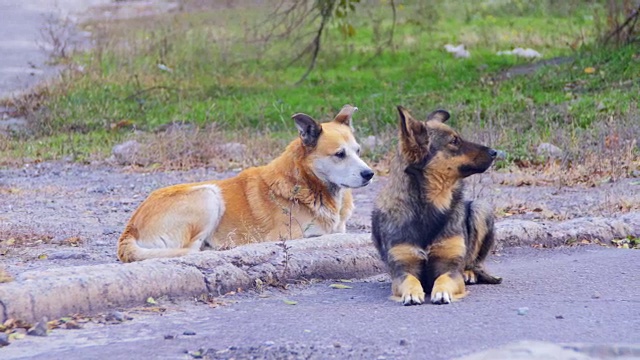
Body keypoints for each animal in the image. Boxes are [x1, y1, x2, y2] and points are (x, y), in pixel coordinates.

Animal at [117, 104, 372, 262]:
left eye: (358, 151)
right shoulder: (285, 236)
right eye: (340, 154)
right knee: (191, 249)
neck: (309, 184)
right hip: (209, 195)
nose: (369, 174)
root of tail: (130, 227)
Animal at [372, 105, 502, 306]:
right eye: (454, 141)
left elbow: (444, 278)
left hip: (481, 208)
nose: (495, 152)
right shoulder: (402, 269)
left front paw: (442, 292)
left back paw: (469, 272)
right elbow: (410, 280)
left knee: (474, 261)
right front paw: (412, 293)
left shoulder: (450, 267)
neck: (429, 206)